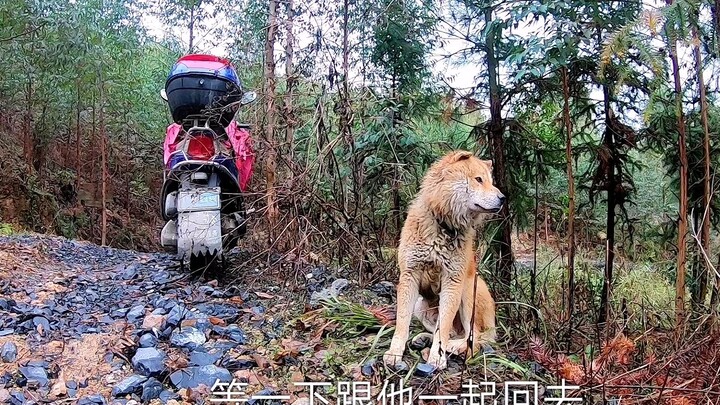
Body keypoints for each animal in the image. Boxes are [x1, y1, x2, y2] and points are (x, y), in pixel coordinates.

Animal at [382, 150, 500, 368]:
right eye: (478, 179)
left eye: (490, 181)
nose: (503, 198)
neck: (444, 225)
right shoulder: (409, 276)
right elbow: (402, 322)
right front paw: (394, 353)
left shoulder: (453, 281)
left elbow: (443, 327)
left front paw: (438, 356)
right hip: (421, 307)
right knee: (453, 332)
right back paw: (423, 339)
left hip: (468, 291)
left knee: (474, 337)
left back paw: (454, 347)